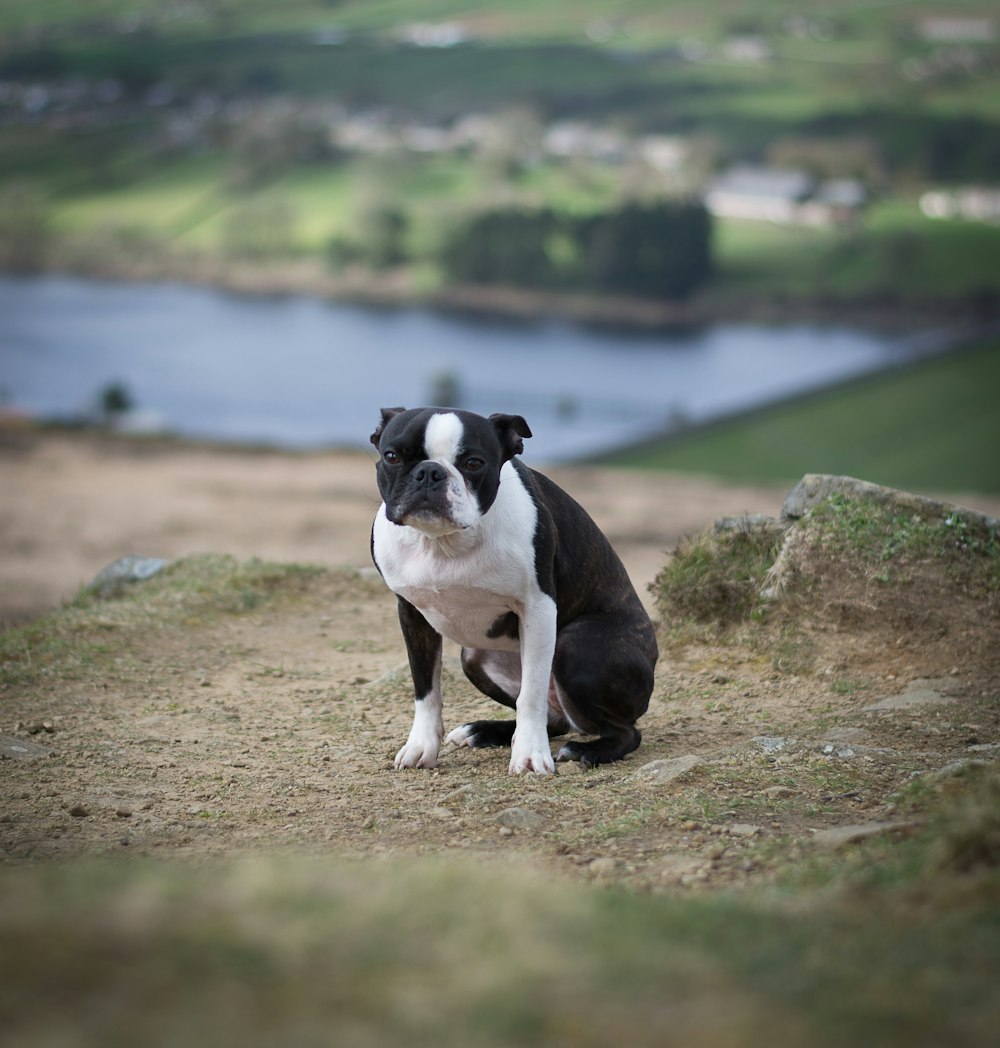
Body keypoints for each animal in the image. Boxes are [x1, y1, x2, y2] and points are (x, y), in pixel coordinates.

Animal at [366, 404, 654, 775]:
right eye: (392, 456)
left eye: (474, 463)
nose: (429, 472)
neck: (443, 542)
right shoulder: (411, 612)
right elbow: (426, 688)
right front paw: (421, 746)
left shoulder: (538, 608)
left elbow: (530, 694)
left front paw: (530, 755)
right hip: (474, 658)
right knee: (556, 719)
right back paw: (483, 731)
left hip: (575, 647)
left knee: (624, 730)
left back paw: (586, 751)